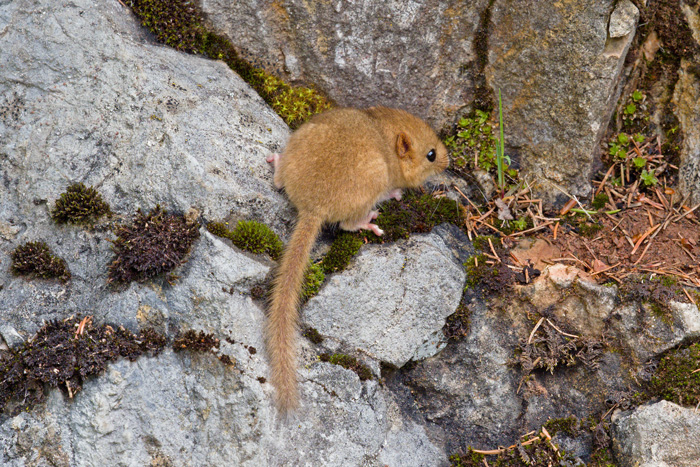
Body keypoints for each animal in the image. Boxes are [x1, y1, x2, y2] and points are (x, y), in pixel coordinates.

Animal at [265, 106, 449, 412]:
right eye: (431, 155)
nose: (449, 162)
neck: (387, 131)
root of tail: (312, 208)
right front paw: (398, 193)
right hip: (371, 187)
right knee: (348, 225)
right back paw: (370, 221)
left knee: (278, 182)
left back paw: (276, 161)